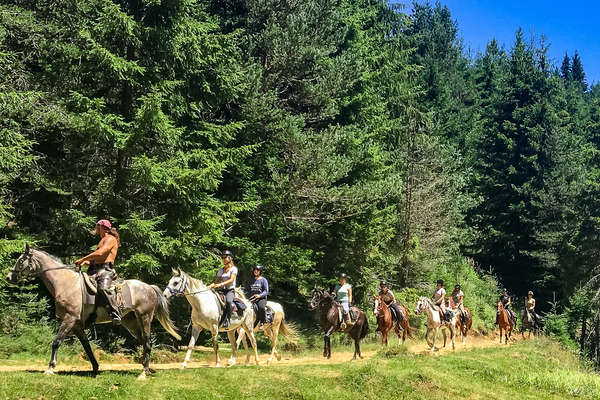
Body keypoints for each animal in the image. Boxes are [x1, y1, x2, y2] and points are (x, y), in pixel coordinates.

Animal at [5, 245, 180, 380]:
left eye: (21, 260)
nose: (8, 277)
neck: (64, 283)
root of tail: (149, 287)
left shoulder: (69, 319)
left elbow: (56, 342)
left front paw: (50, 368)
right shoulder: (76, 324)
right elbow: (87, 346)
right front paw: (96, 369)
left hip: (144, 317)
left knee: (148, 342)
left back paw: (143, 373)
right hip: (130, 322)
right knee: (144, 342)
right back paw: (147, 369)